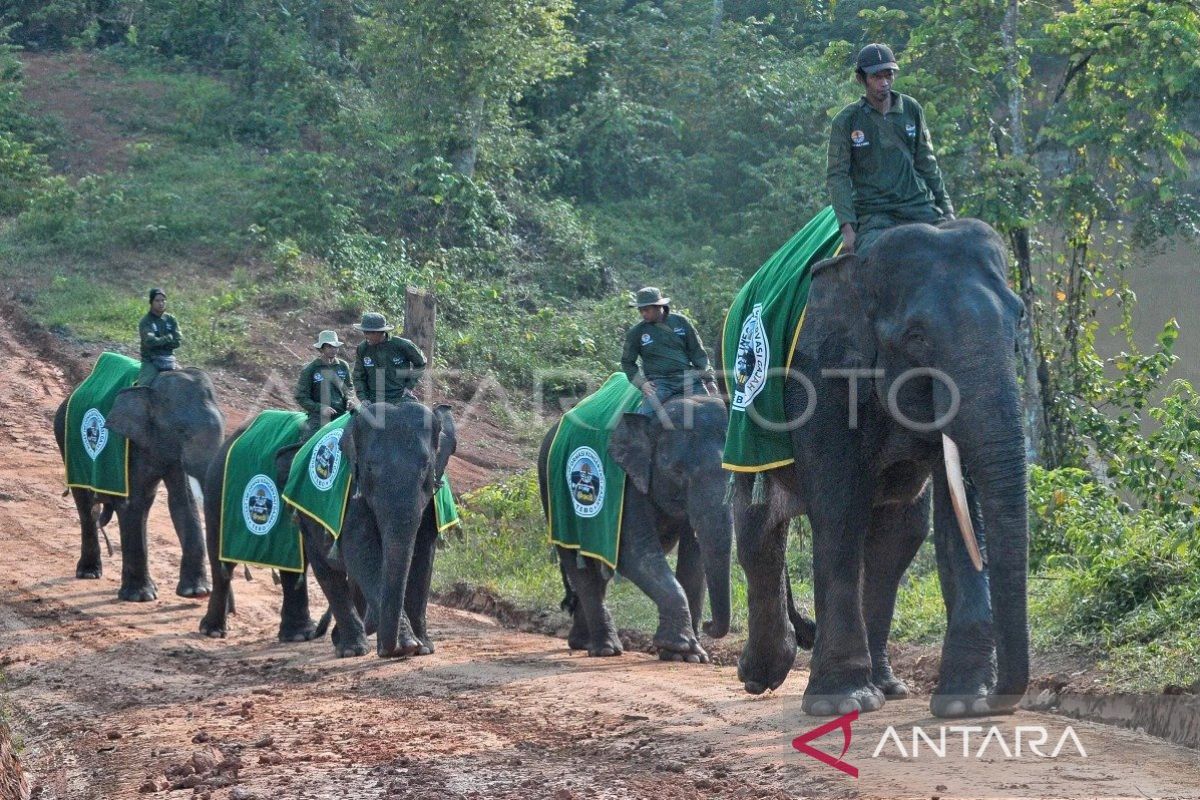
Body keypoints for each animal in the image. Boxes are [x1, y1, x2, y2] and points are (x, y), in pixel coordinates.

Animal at [52, 369, 225, 599]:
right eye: (181, 431)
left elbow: (183, 501)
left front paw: (196, 592)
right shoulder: (129, 445)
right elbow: (132, 502)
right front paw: (140, 597)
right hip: (67, 443)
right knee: (86, 505)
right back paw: (89, 573)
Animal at [540, 393, 734, 662]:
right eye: (677, 471)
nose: (708, 624)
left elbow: (694, 560)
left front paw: (692, 656)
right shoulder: (626, 484)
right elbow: (635, 554)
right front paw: (682, 649)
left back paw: (582, 642)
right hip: (555, 498)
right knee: (581, 568)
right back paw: (605, 649)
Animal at [729, 219, 1032, 719]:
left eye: (1018, 320)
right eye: (916, 337)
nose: (999, 702)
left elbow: (961, 515)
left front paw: (963, 703)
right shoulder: (821, 377)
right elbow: (839, 510)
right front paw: (840, 702)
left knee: (899, 536)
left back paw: (887, 686)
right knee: (756, 528)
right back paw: (761, 676)